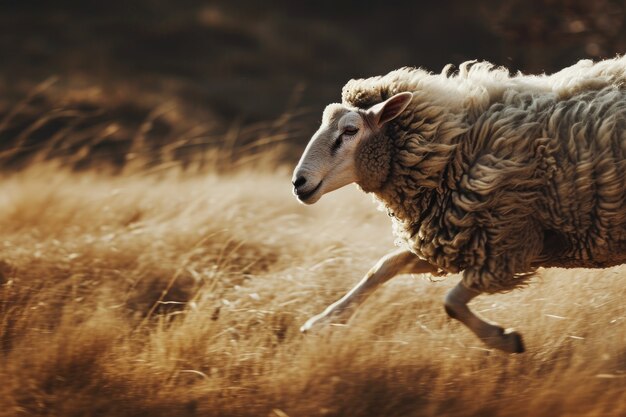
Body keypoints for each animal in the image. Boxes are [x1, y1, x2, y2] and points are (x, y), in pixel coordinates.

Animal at [292, 57, 624, 352]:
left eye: (350, 130)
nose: (298, 182)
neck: (453, 146)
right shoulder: (451, 238)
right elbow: (383, 267)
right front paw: (322, 321)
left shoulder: (507, 246)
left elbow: (450, 303)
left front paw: (504, 340)